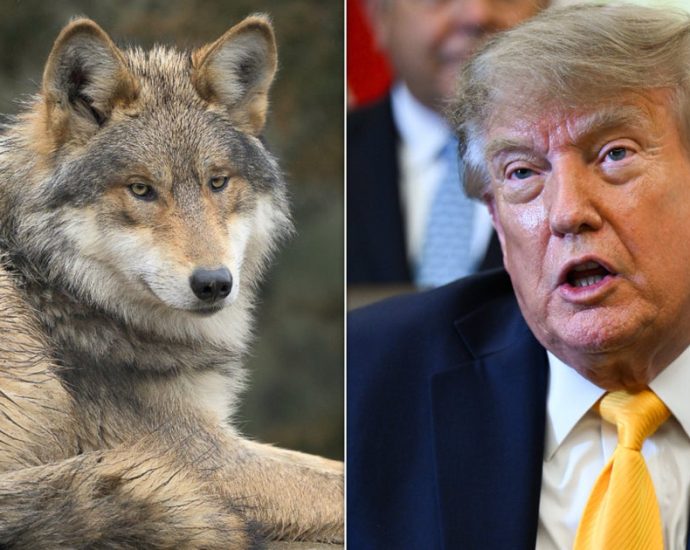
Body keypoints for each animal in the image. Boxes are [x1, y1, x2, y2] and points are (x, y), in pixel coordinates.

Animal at [0, 14, 342, 549]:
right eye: (142, 189)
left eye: (217, 182)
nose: (214, 283)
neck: (55, 285)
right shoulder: (201, 457)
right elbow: (338, 487)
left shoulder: (218, 434)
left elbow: (331, 466)